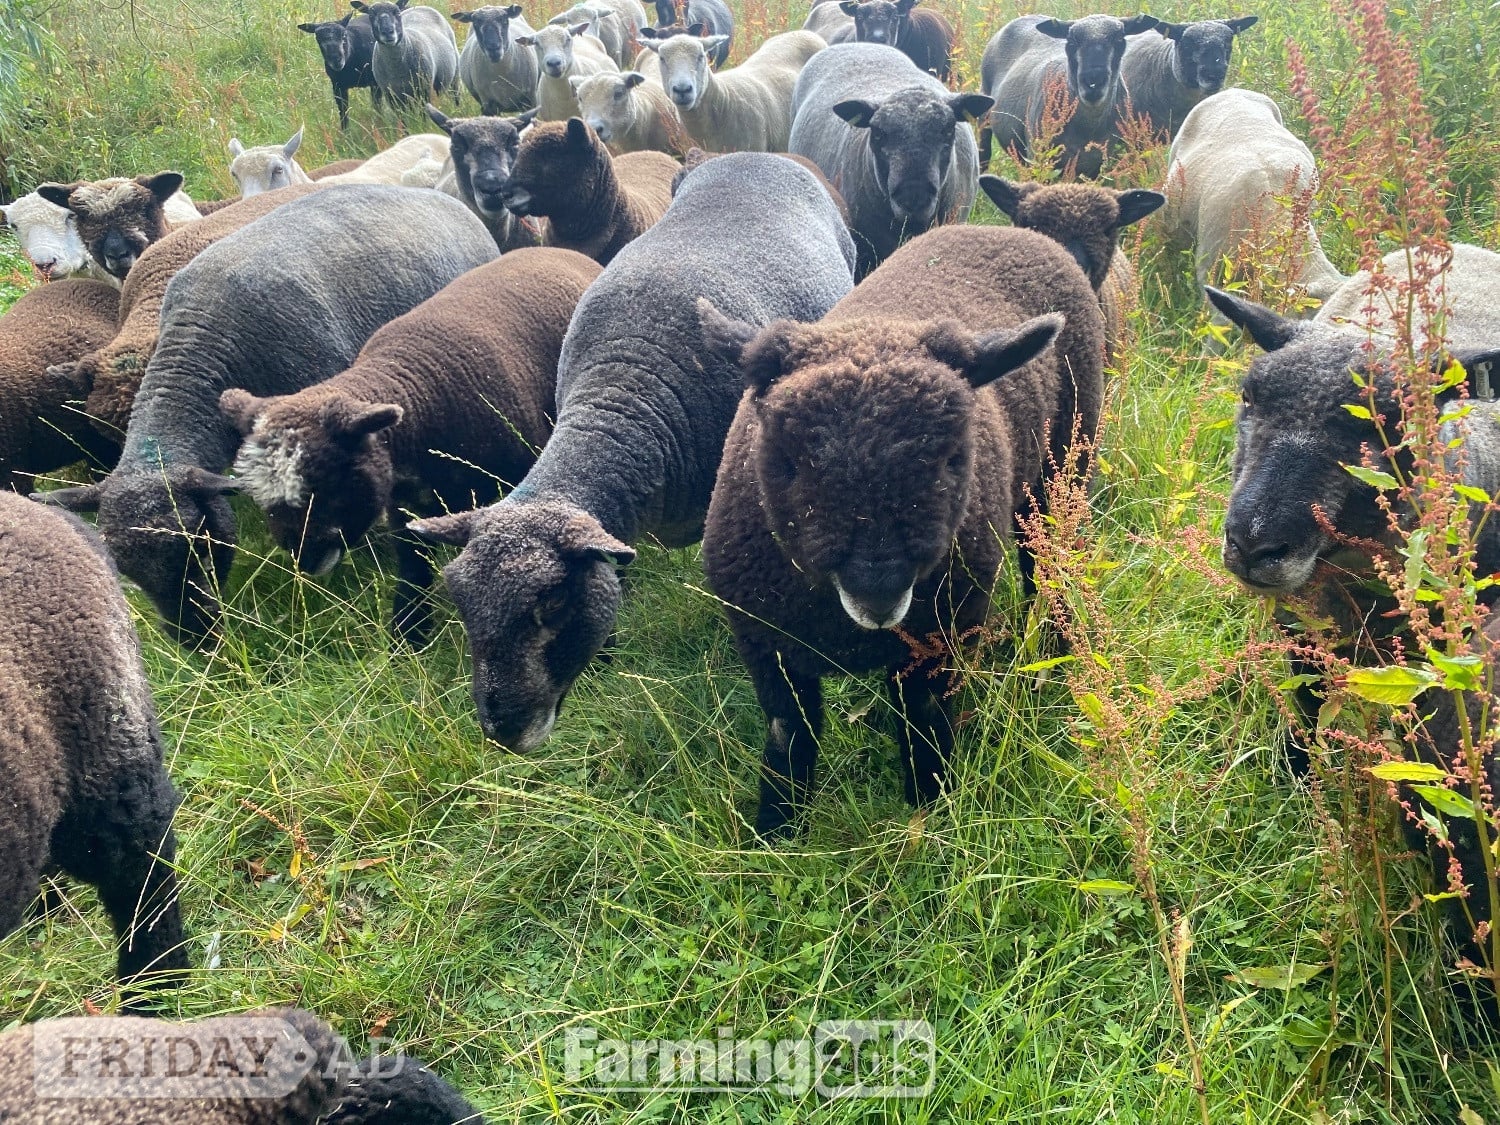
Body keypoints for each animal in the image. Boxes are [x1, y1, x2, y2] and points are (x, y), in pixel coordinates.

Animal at [221, 248, 600, 642]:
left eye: (328, 481)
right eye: (263, 500)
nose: (306, 557)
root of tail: (558, 250)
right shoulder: (404, 508)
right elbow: (412, 568)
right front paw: (408, 635)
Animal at [697, 223, 1104, 838]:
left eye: (953, 458)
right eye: (787, 462)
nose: (878, 592)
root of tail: (1006, 228)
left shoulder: (940, 634)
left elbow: (923, 721)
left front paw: (931, 809)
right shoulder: (766, 642)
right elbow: (789, 732)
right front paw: (777, 830)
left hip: (1062, 467)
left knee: (1047, 561)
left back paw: (1056, 646)